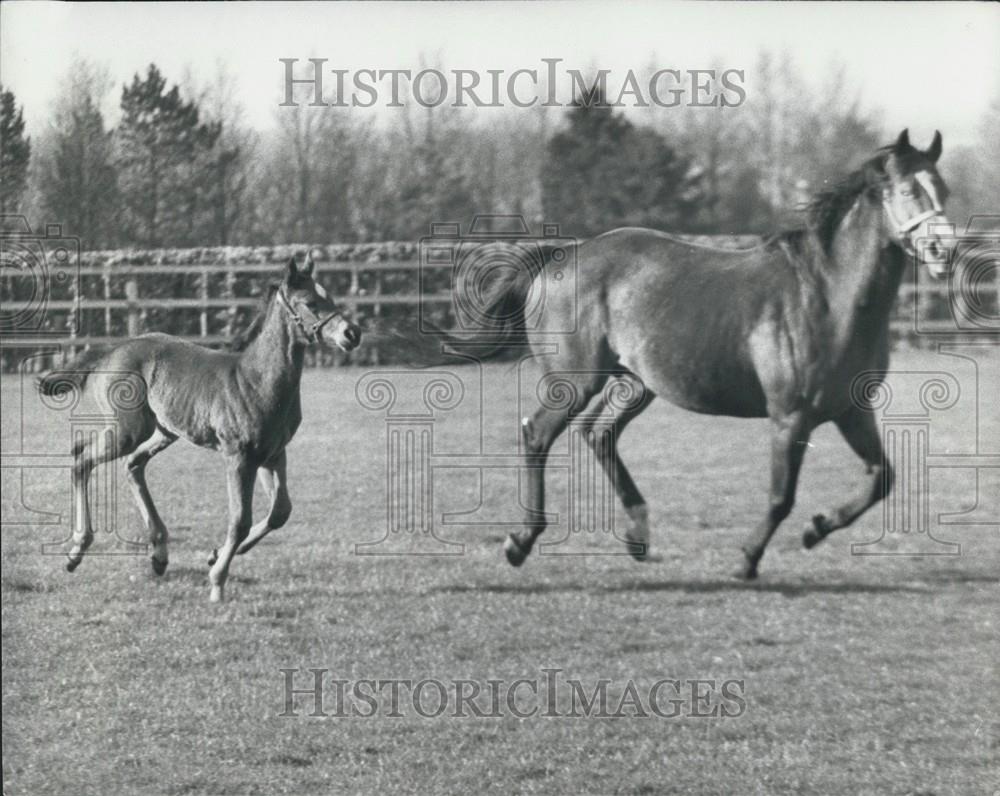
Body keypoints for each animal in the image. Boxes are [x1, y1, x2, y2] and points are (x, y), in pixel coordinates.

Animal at [454, 131, 952, 580]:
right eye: (908, 190)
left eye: (943, 190)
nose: (943, 250)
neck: (827, 296)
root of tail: (563, 255)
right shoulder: (790, 416)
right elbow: (781, 497)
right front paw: (748, 560)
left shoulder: (852, 411)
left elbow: (881, 478)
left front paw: (817, 529)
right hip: (575, 381)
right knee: (538, 435)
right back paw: (521, 541)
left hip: (636, 384)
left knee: (598, 435)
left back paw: (637, 534)